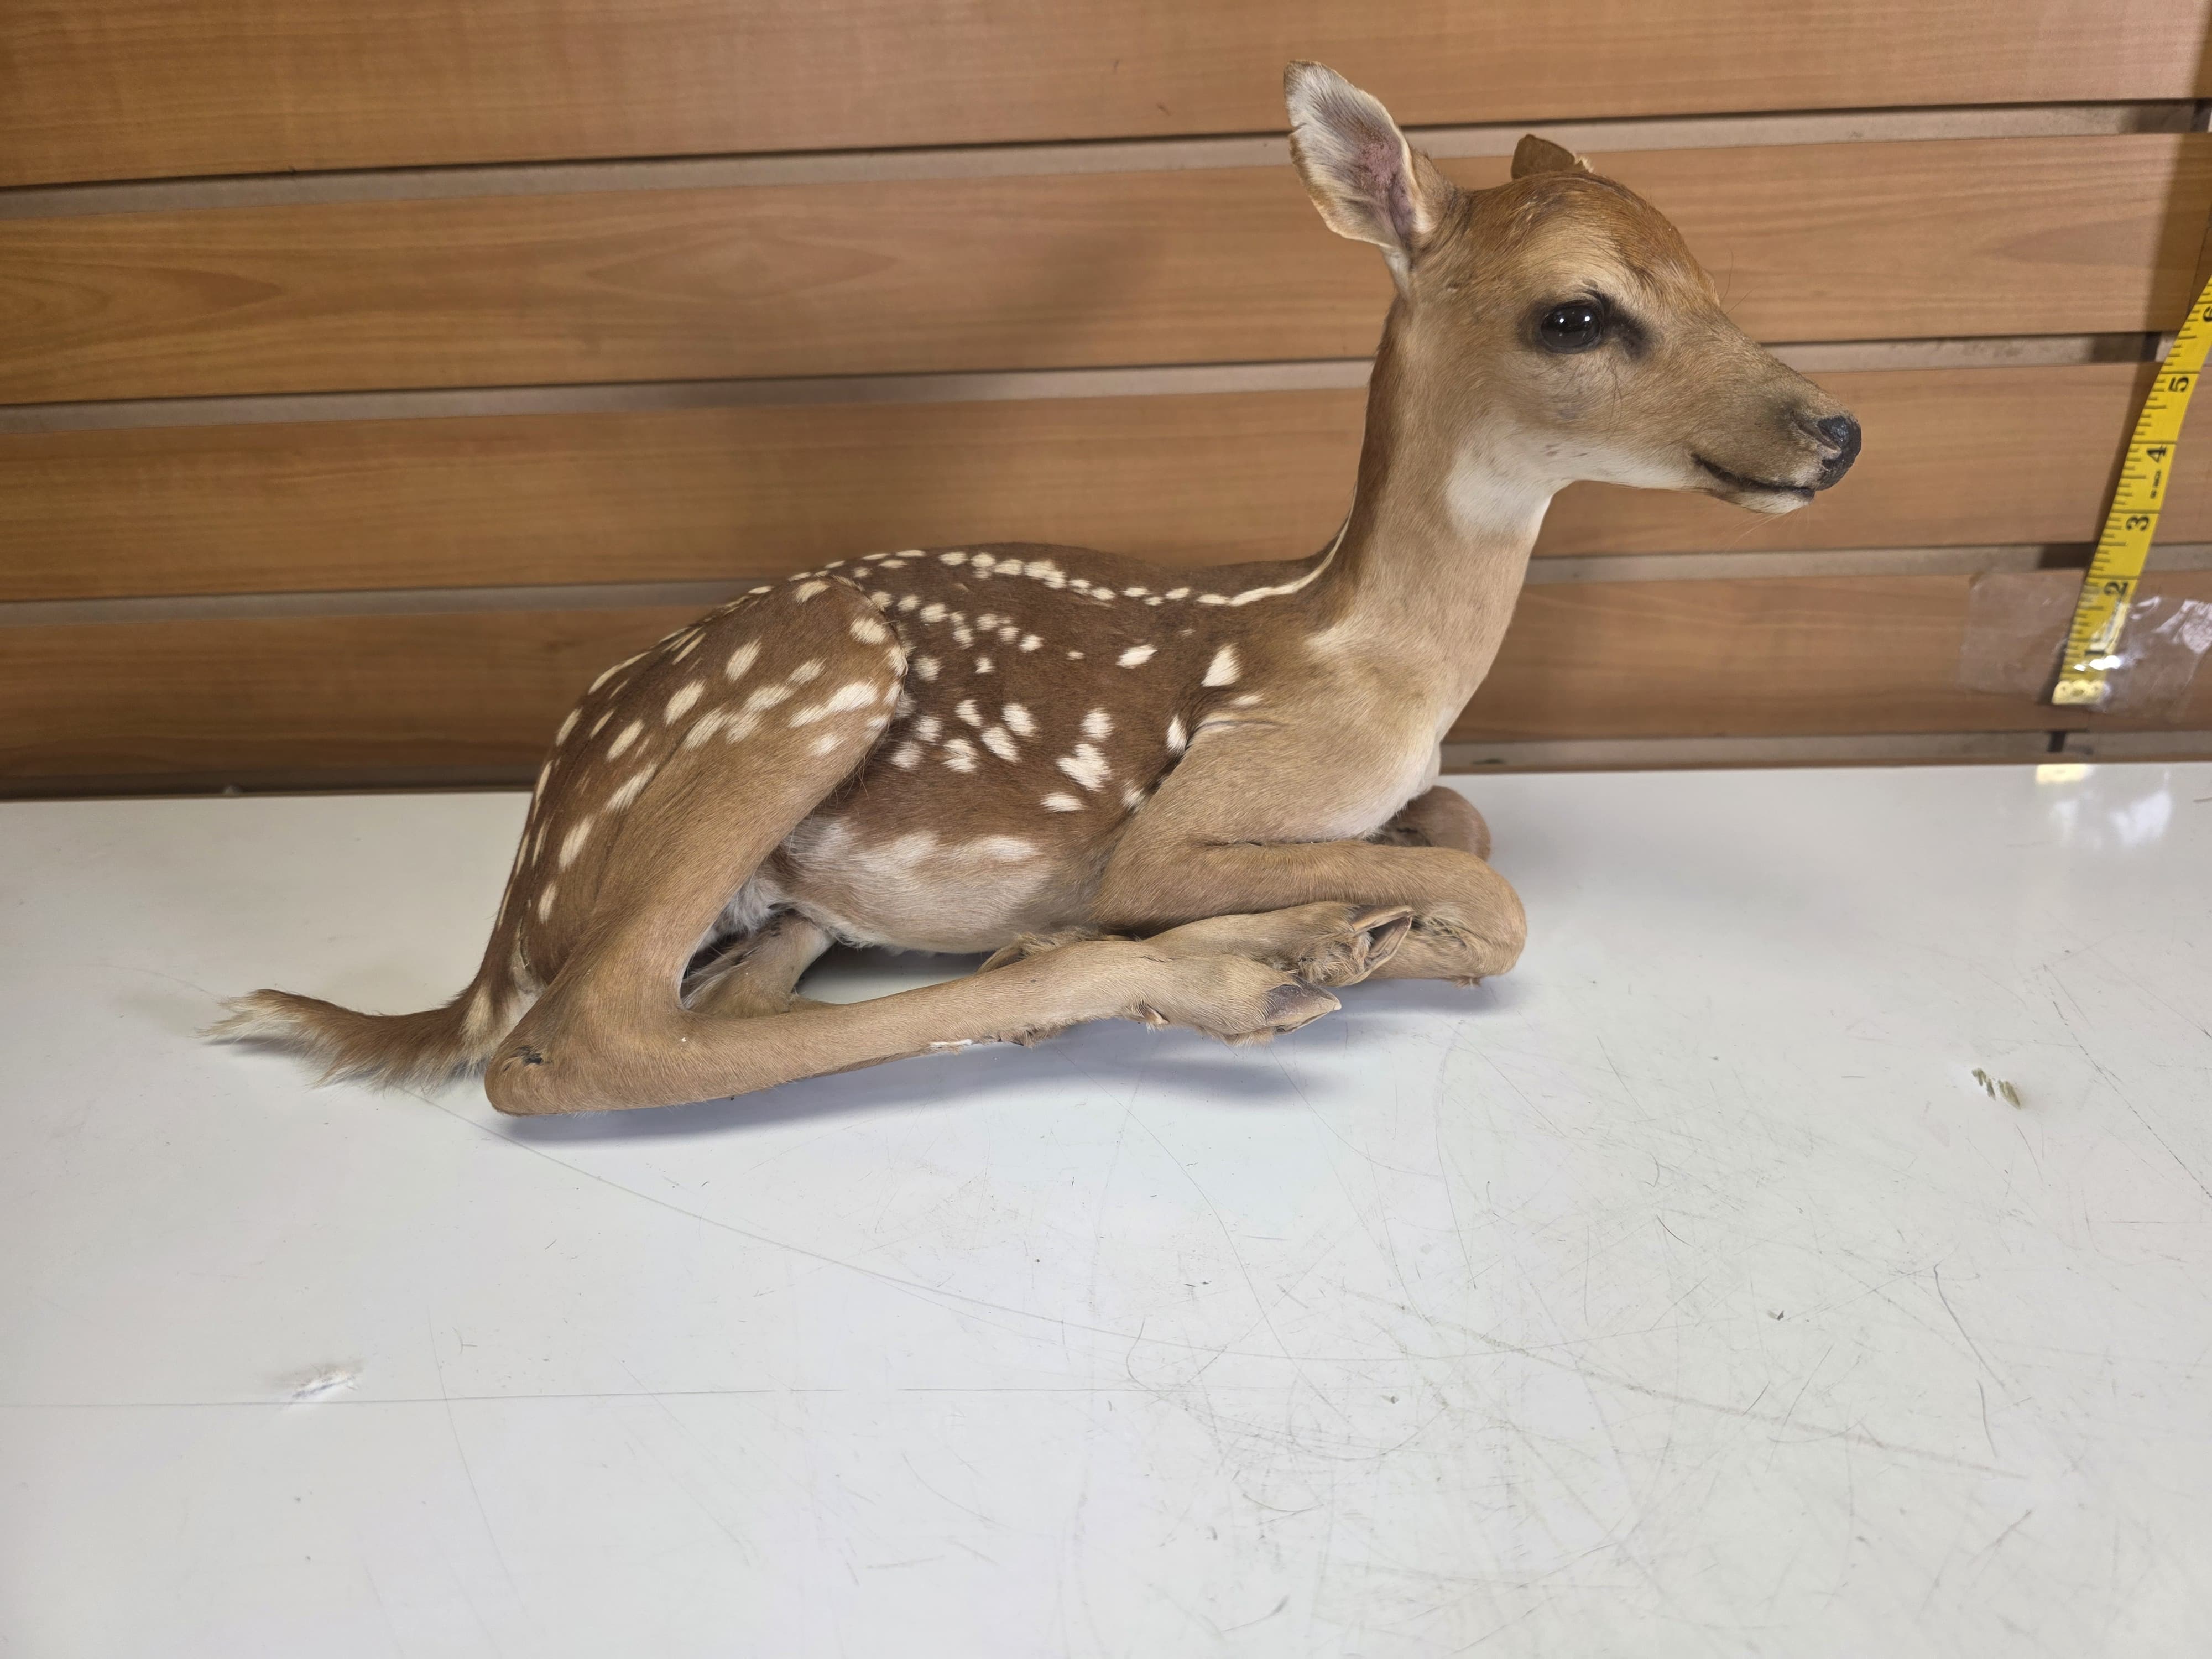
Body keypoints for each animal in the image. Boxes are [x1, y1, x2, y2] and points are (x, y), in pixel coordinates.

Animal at [212, 63, 1860, 1115]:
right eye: (1577, 315)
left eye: (1707, 273)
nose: (1836, 430)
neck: (1370, 656)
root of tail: (519, 883)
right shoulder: (1194, 805)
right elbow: (1486, 889)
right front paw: (1364, 927)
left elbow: (1464, 820)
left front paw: (1365, 907)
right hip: (807, 689)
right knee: (579, 1045)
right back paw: (1211, 969)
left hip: (790, 878)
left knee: (724, 997)